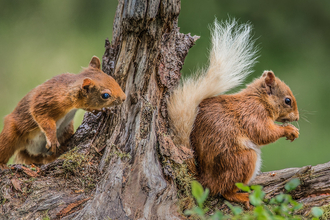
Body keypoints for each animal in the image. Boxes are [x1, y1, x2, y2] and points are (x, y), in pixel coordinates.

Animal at [168, 20, 300, 208]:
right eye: (287, 100)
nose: (297, 117)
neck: (259, 100)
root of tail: (205, 180)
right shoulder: (252, 114)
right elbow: (263, 133)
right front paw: (289, 130)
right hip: (243, 160)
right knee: (224, 191)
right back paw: (241, 196)